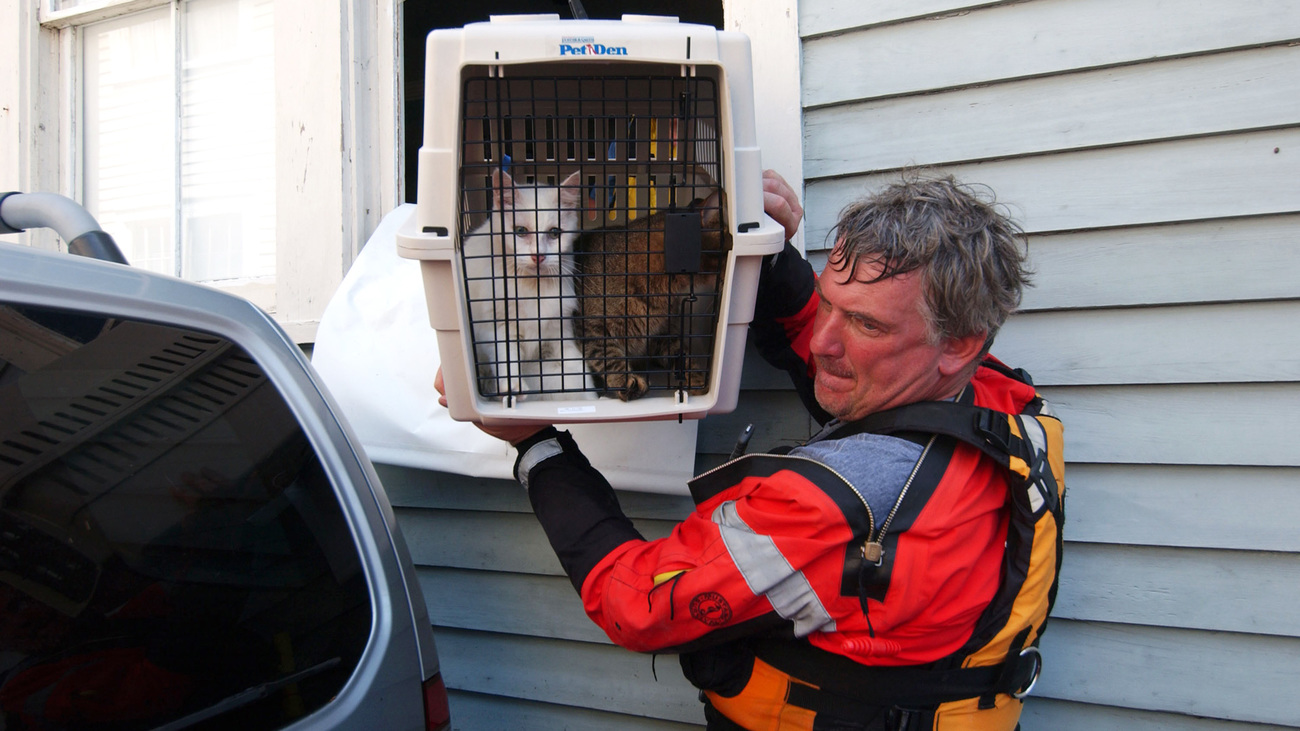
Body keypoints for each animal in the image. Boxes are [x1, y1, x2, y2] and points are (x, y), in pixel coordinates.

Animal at [462, 167, 595, 398]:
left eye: (554, 233)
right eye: (521, 231)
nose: (538, 256)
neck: (534, 288)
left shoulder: (561, 332)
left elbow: (577, 368)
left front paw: (591, 397)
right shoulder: (496, 328)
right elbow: (506, 356)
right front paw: (513, 387)